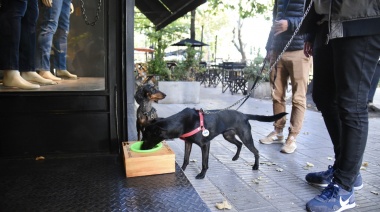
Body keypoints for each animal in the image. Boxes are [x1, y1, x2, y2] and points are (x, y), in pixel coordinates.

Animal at [141, 107, 286, 179]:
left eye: (147, 137)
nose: (142, 148)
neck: (182, 122)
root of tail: (244, 115)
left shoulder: (205, 144)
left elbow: (204, 163)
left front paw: (201, 175)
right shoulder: (188, 143)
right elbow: (186, 159)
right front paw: (182, 169)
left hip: (246, 138)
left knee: (255, 151)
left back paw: (256, 166)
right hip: (228, 135)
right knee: (239, 144)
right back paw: (235, 157)